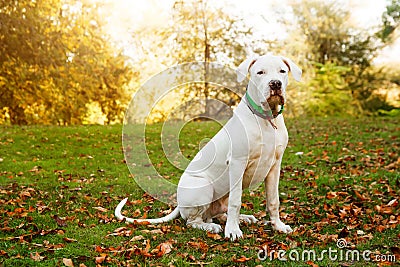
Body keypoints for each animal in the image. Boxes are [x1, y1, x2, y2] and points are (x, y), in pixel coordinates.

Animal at [114, 54, 302, 241]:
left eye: (282, 71)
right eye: (260, 72)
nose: (275, 84)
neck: (266, 119)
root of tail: (179, 203)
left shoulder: (274, 166)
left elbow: (273, 200)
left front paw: (278, 226)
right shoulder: (237, 163)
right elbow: (236, 201)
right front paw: (233, 231)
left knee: (219, 213)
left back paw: (243, 218)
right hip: (203, 186)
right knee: (193, 221)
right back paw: (212, 226)